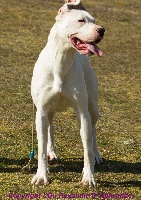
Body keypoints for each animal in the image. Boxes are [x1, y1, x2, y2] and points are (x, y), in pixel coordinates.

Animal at [31, 0, 105, 188]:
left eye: (94, 21)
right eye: (81, 20)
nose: (102, 30)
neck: (61, 60)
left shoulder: (83, 113)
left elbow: (87, 146)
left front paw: (88, 177)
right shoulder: (41, 111)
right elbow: (41, 146)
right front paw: (41, 175)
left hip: (93, 107)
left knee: (93, 130)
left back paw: (97, 155)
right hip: (49, 111)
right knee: (50, 127)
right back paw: (51, 153)